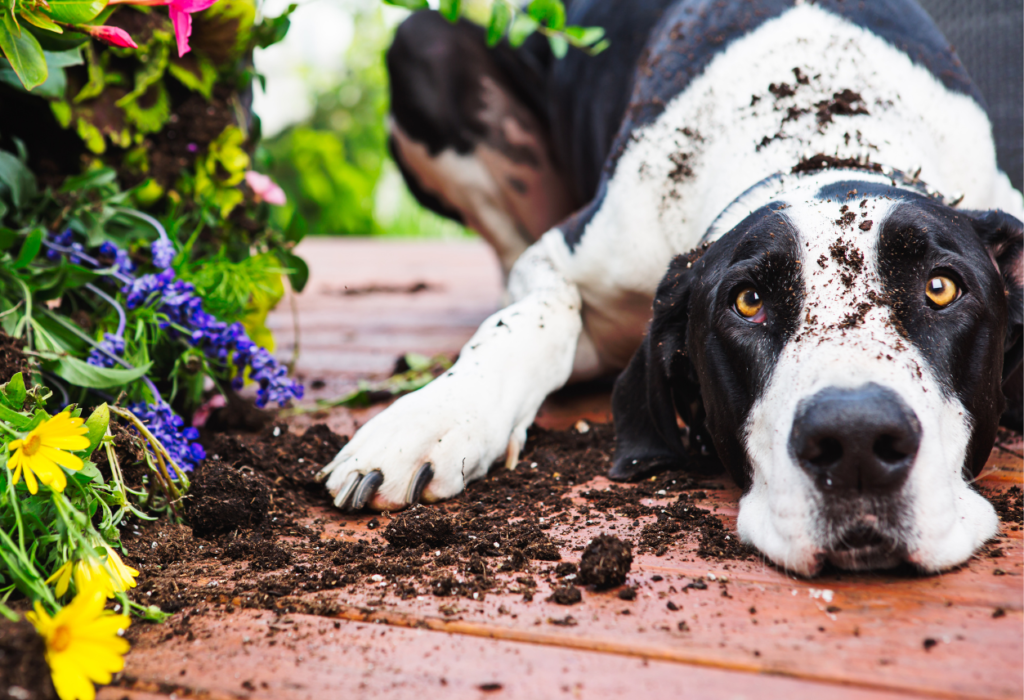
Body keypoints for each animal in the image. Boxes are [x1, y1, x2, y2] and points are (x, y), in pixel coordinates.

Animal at [315, 0, 1019, 577]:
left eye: (940, 288)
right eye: (748, 302)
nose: (856, 444)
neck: (821, 137)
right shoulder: (565, 257)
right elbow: (532, 320)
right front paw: (433, 417)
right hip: (423, 44)